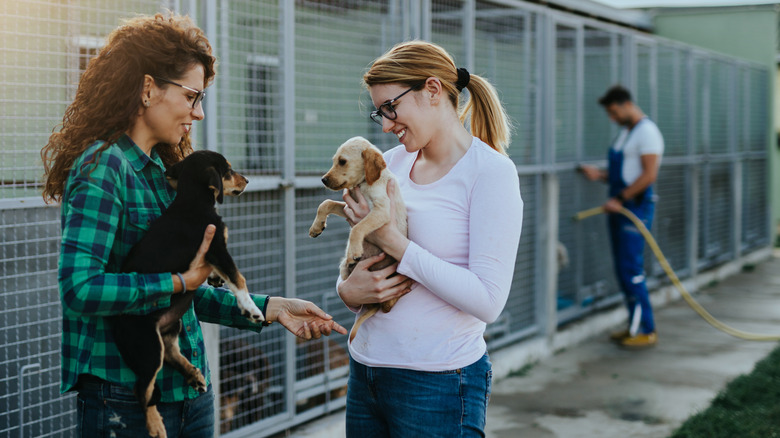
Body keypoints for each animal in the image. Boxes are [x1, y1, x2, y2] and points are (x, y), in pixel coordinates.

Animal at [109, 151, 266, 438]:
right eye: (228, 170)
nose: (247, 180)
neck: (192, 200)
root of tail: (115, 323)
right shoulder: (217, 247)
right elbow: (239, 277)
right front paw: (251, 309)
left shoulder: (214, 254)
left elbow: (226, 275)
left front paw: (215, 279)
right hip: (147, 346)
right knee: (142, 388)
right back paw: (155, 425)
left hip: (171, 327)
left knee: (171, 354)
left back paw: (194, 375)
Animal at [310, 137, 412, 342]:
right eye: (335, 161)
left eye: (342, 161)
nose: (323, 179)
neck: (365, 183)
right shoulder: (348, 206)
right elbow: (326, 203)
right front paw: (316, 227)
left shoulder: (381, 210)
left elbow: (358, 228)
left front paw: (354, 250)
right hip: (344, 270)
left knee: (387, 306)